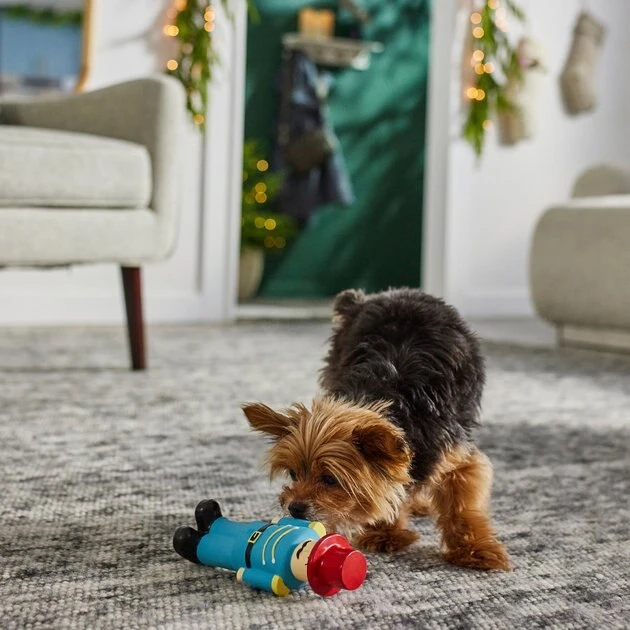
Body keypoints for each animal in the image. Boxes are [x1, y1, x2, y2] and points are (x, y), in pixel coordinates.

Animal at [243, 288, 510, 571]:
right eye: (293, 474)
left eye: (330, 479)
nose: (294, 507)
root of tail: (393, 292)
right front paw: (385, 530)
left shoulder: (457, 456)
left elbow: (462, 507)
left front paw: (474, 549)